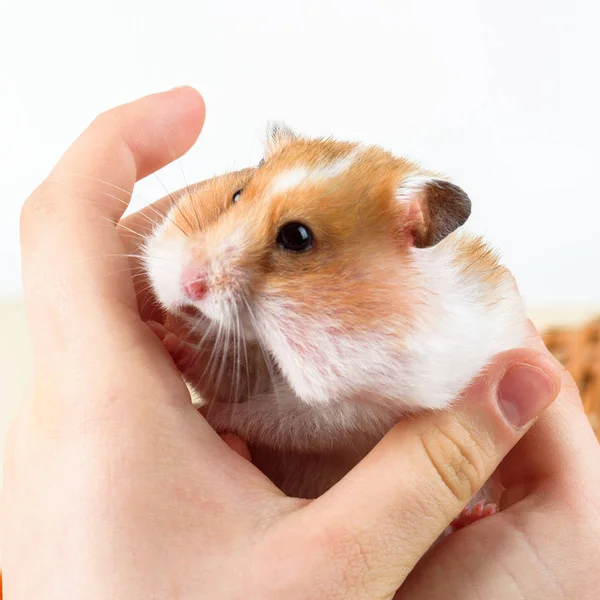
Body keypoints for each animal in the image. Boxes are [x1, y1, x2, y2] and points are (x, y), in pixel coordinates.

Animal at [143, 124, 528, 500]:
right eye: (237, 194)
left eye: (297, 236)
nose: (189, 285)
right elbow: (218, 374)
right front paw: (161, 335)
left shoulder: (350, 411)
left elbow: (265, 417)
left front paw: (208, 416)